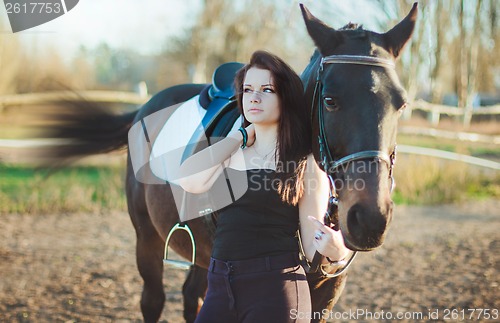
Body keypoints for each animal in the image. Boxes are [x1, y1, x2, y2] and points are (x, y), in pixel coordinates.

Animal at [27, 3, 418, 323]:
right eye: (330, 101)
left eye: (401, 104)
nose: (370, 219)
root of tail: (144, 108)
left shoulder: (326, 292)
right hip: (147, 238)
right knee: (153, 301)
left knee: (192, 298)